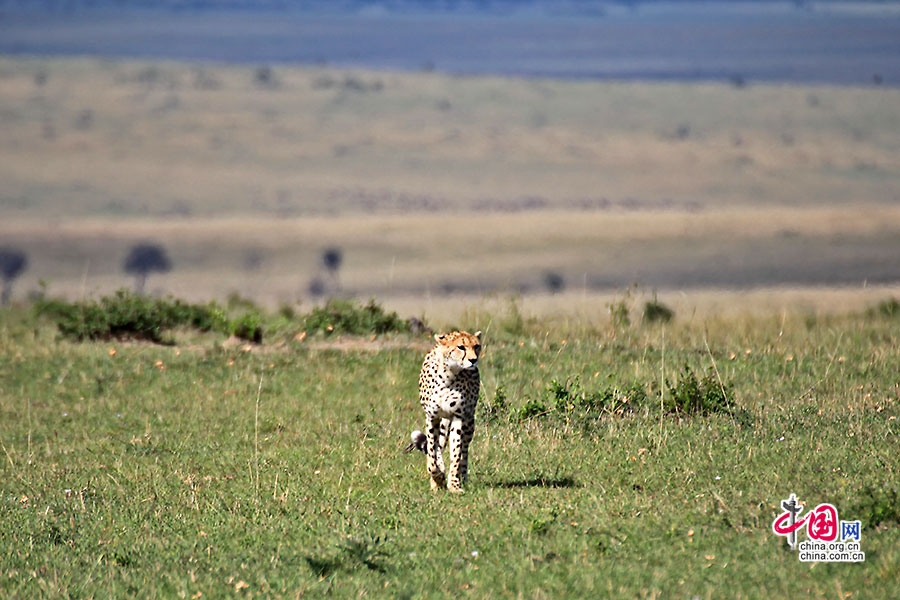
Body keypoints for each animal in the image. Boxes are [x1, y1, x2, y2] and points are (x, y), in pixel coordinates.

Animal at [410, 332, 482, 492]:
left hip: (469, 423)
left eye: (476, 346)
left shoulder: (458, 417)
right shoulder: (432, 417)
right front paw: (437, 477)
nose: (473, 360)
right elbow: (432, 452)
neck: (449, 374)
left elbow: (456, 453)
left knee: (464, 450)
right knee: (437, 447)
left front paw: (454, 484)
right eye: (461, 347)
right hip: (442, 423)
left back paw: (462, 477)